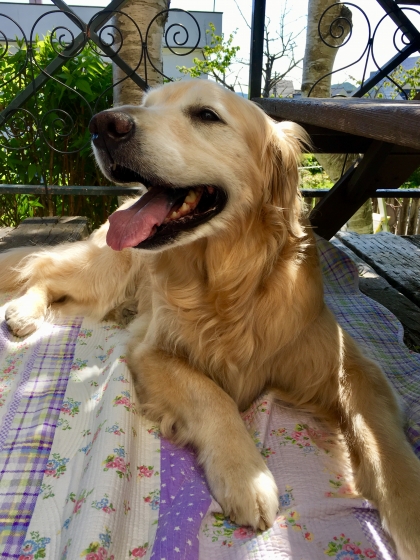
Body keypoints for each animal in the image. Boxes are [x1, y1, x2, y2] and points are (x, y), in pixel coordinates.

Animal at [1, 81, 419, 559]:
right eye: (147, 105)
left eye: (206, 114)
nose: (102, 124)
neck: (227, 285)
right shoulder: (152, 352)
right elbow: (212, 395)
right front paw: (245, 475)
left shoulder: (353, 368)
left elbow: (384, 442)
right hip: (107, 270)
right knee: (43, 269)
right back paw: (22, 312)